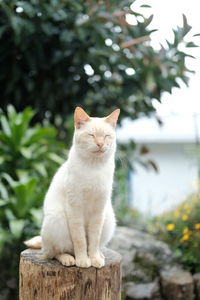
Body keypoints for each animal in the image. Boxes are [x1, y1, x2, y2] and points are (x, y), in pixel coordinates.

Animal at [24, 106, 119, 268]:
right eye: (91, 135)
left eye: (107, 136)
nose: (100, 144)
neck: (94, 167)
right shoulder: (75, 208)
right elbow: (80, 240)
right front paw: (83, 260)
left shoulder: (98, 211)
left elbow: (93, 241)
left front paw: (94, 259)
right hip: (56, 218)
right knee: (54, 252)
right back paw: (69, 259)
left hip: (108, 219)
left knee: (96, 245)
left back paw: (100, 256)